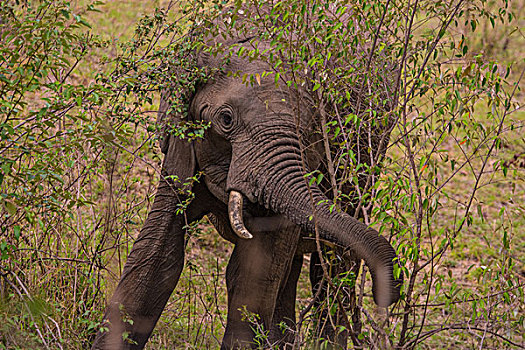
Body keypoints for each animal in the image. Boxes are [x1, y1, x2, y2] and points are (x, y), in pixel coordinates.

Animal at [92, 4, 402, 348]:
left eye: (309, 125)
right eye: (226, 120)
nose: (388, 294)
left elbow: (253, 271)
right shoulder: (180, 144)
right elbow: (159, 253)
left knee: (331, 265)